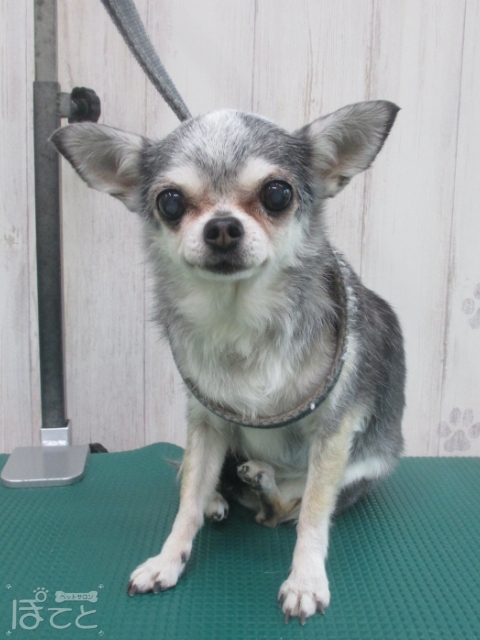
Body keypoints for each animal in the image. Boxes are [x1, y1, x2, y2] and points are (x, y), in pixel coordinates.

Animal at [51, 100, 405, 624]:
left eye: (278, 193)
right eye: (170, 202)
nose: (221, 226)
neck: (239, 319)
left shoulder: (335, 429)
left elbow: (312, 515)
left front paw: (305, 580)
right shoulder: (206, 422)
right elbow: (185, 505)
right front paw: (168, 560)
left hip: (361, 466)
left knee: (282, 509)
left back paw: (263, 480)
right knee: (208, 486)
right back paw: (225, 493)